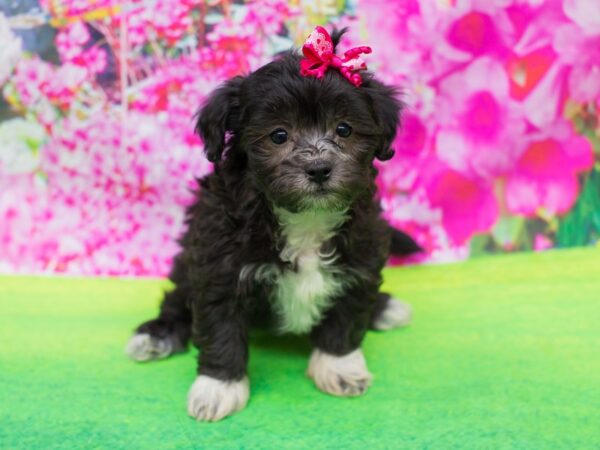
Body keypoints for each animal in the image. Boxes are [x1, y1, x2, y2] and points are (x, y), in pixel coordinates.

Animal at [126, 27, 412, 422]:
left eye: (344, 129)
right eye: (278, 135)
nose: (319, 169)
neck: (304, 218)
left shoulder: (363, 250)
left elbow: (347, 312)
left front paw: (339, 366)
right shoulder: (219, 262)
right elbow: (220, 326)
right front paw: (218, 388)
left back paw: (384, 308)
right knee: (177, 298)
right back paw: (157, 335)